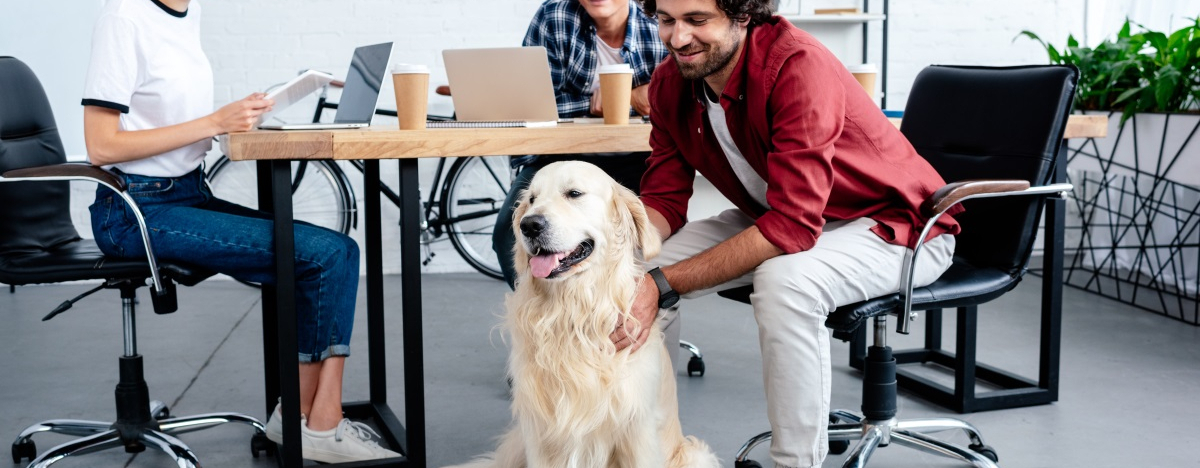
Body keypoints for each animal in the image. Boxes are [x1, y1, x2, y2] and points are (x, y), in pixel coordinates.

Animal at [446, 162, 715, 468]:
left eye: (574, 193)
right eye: (532, 199)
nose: (529, 224)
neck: (572, 311)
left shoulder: (638, 431)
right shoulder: (539, 435)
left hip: (696, 456)